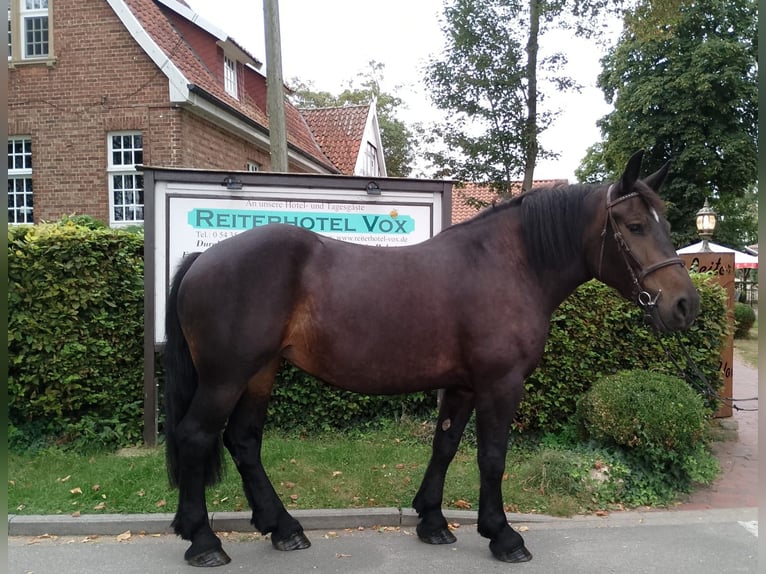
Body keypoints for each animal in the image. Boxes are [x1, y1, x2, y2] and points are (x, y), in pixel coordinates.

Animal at [164, 151, 704, 568]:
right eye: (635, 225)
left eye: (665, 223)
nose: (685, 305)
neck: (510, 264)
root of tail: (202, 258)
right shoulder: (500, 383)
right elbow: (492, 457)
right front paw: (502, 535)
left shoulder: (463, 384)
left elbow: (444, 446)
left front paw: (433, 521)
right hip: (225, 377)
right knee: (196, 436)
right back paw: (204, 541)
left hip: (259, 371)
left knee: (244, 441)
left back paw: (283, 528)